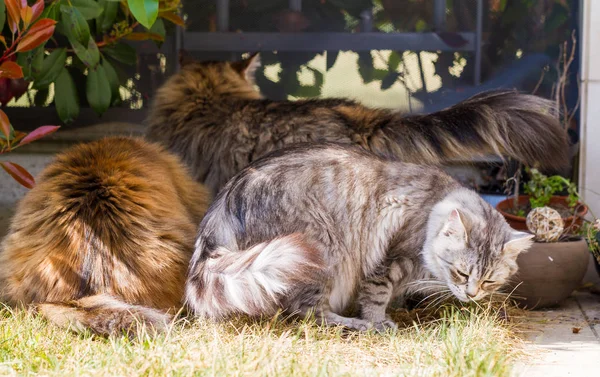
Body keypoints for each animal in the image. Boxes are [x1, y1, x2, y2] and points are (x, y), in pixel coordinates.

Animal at [184, 142, 536, 330]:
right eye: (461, 273)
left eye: (489, 281)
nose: (471, 295)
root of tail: (229, 195)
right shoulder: (389, 260)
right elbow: (376, 296)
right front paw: (379, 321)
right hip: (320, 250)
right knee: (308, 313)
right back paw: (355, 324)